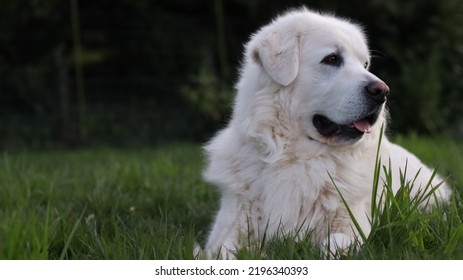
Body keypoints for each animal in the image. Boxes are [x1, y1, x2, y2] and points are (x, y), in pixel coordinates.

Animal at [201, 7, 452, 260]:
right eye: (332, 59)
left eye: (364, 64)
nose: (382, 91)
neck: (298, 158)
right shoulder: (230, 225)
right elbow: (224, 251)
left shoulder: (352, 225)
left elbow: (333, 244)